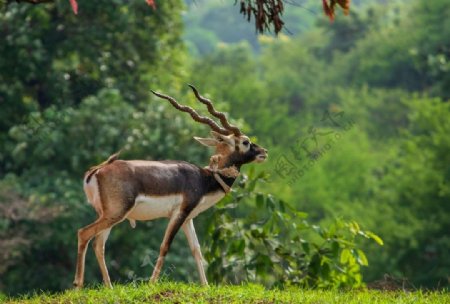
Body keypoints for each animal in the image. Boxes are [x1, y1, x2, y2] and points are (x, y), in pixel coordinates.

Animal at [74, 85, 268, 288]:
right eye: (245, 142)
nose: (264, 152)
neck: (204, 178)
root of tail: (97, 170)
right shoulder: (178, 213)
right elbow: (164, 246)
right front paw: (152, 284)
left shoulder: (188, 218)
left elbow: (196, 250)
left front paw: (205, 286)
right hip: (115, 213)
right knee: (84, 233)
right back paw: (77, 286)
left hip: (108, 215)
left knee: (98, 244)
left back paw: (109, 288)